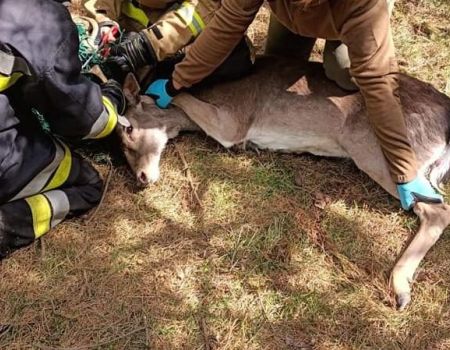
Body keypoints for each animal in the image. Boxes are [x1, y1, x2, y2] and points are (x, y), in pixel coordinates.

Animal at [116, 56, 450, 310]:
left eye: (128, 129)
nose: (142, 178)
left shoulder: (232, 121)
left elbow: (184, 98)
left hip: (375, 151)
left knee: (438, 210)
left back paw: (400, 288)